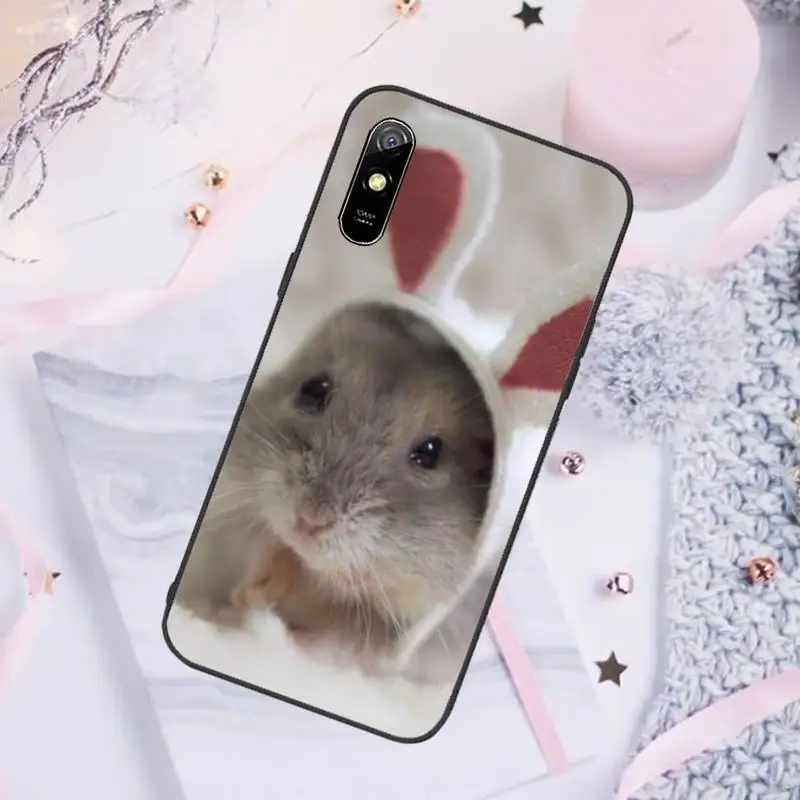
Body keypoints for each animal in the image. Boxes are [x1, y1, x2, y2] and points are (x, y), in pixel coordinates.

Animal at [174, 303, 495, 682]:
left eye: (431, 452)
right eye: (314, 389)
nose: (310, 519)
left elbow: (352, 643)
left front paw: (267, 629)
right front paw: (249, 590)